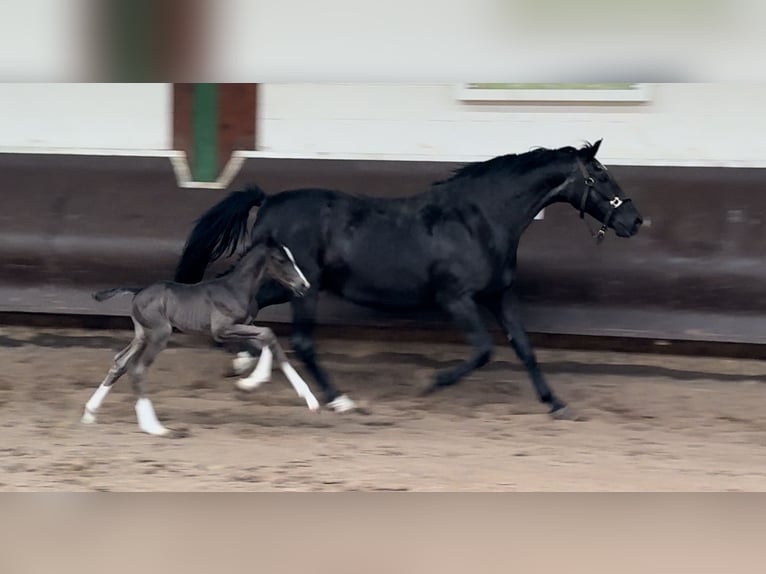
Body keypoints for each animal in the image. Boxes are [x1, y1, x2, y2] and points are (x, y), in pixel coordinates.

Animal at [174, 140, 640, 418]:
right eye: (600, 175)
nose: (634, 220)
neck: (479, 219)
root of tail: (269, 200)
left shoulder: (499, 294)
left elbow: (524, 348)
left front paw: (555, 402)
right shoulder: (456, 298)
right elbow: (484, 350)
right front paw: (433, 383)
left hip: (290, 283)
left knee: (249, 304)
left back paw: (243, 362)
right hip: (304, 287)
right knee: (302, 340)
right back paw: (338, 399)